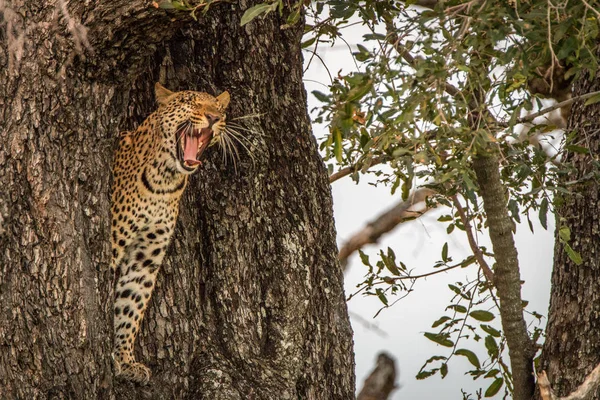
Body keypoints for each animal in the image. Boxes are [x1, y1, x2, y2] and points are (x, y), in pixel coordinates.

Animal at [109, 81, 231, 384]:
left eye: (219, 107)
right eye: (190, 101)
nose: (214, 117)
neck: (165, 182)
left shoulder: (145, 258)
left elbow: (130, 305)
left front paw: (125, 360)